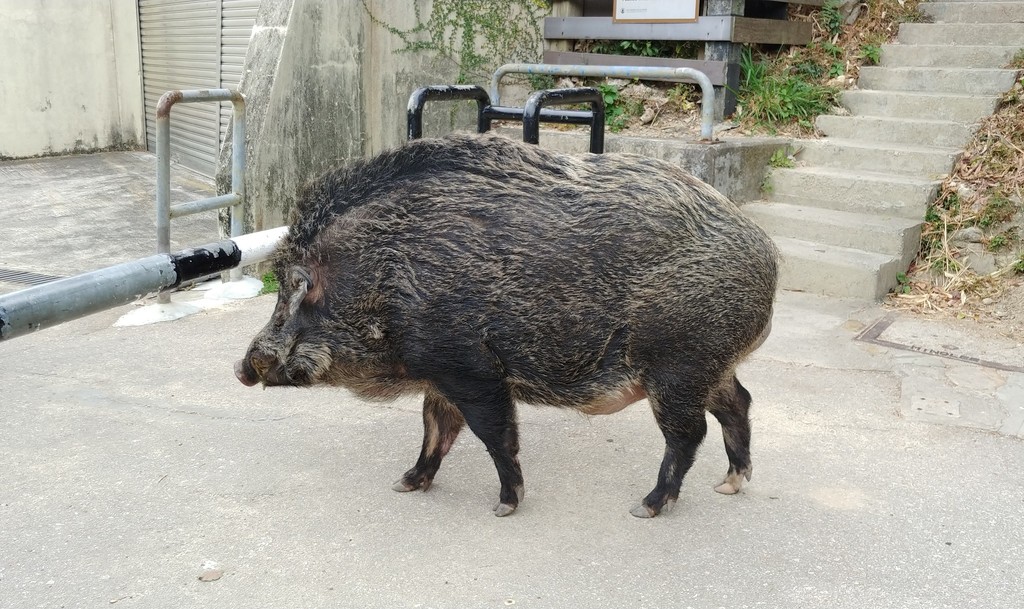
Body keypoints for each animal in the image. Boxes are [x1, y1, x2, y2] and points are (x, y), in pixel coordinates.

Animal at [235, 133, 778, 518]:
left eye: (292, 291)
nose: (242, 366)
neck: (382, 277)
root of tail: (766, 252)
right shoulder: (440, 374)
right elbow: (435, 429)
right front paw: (404, 484)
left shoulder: (471, 367)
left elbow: (493, 434)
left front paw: (504, 506)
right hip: (709, 367)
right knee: (739, 403)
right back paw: (730, 485)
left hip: (678, 365)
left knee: (688, 434)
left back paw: (646, 506)